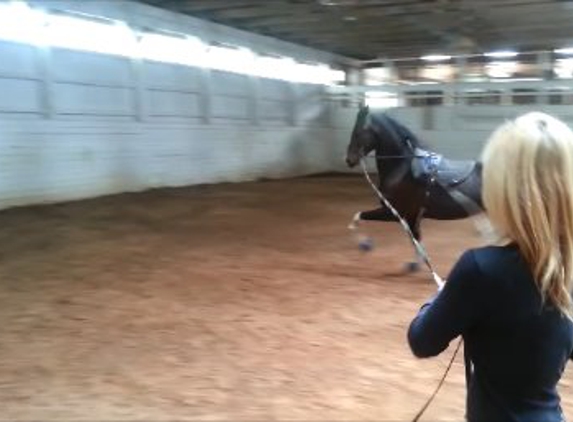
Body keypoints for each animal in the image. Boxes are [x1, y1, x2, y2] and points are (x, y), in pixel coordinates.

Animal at [346, 105, 484, 270]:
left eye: (358, 132)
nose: (349, 160)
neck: (402, 169)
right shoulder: (411, 216)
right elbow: (416, 240)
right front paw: (416, 264)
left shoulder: (393, 213)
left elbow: (357, 217)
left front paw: (364, 243)